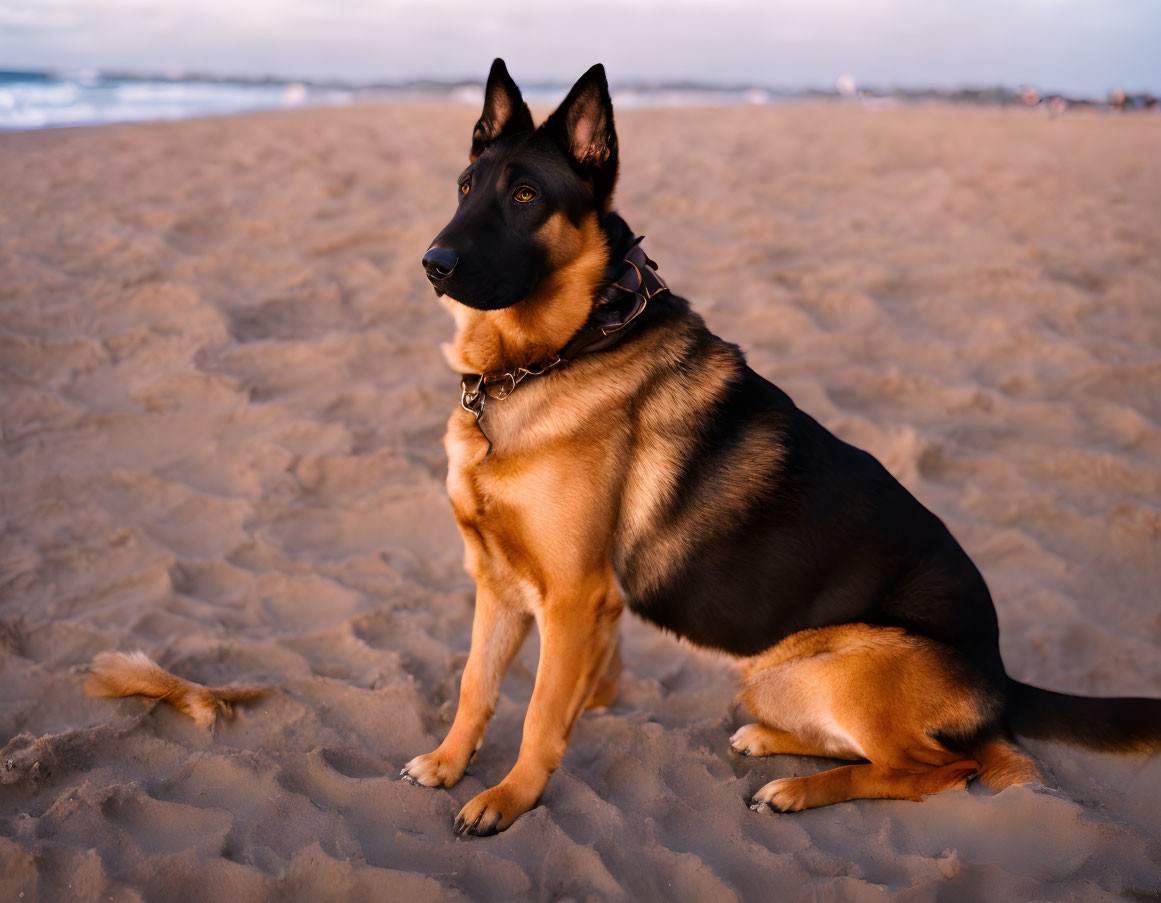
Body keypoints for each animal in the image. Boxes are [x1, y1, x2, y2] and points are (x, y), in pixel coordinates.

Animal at [401, 59, 1161, 835]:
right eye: (465, 188)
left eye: (525, 195)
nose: (433, 263)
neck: (564, 348)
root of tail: (1001, 675)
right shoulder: (497, 583)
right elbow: (476, 683)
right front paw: (449, 760)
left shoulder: (575, 601)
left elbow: (541, 715)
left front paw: (508, 797)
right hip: (774, 675)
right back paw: (769, 742)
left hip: (848, 671)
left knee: (938, 769)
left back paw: (797, 789)